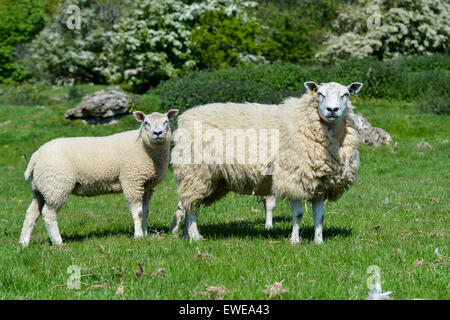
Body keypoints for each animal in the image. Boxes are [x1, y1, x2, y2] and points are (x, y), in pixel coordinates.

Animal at [18, 109, 178, 246]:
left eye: (166, 121)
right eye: (146, 123)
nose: (157, 133)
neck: (145, 148)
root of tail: (36, 155)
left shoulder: (146, 185)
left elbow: (145, 211)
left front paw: (145, 234)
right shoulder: (132, 181)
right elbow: (138, 213)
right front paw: (138, 236)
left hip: (40, 188)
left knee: (32, 213)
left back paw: (24, 243)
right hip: (56, 186)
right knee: (49, 214)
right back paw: (58, 242)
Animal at [170, 81, 362, 244]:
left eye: (346, 94)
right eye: (320, 94)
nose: (332, 110)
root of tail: (185, 118)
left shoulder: (321, 184)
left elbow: (319, 216)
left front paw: (318, 241)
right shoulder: (293, 177)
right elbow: (298, 214)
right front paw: (294, 241)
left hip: (211, 178)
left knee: (188, 204)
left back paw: (186, 234)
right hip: (196, 172)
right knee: (192, 207)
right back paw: (195, 237)